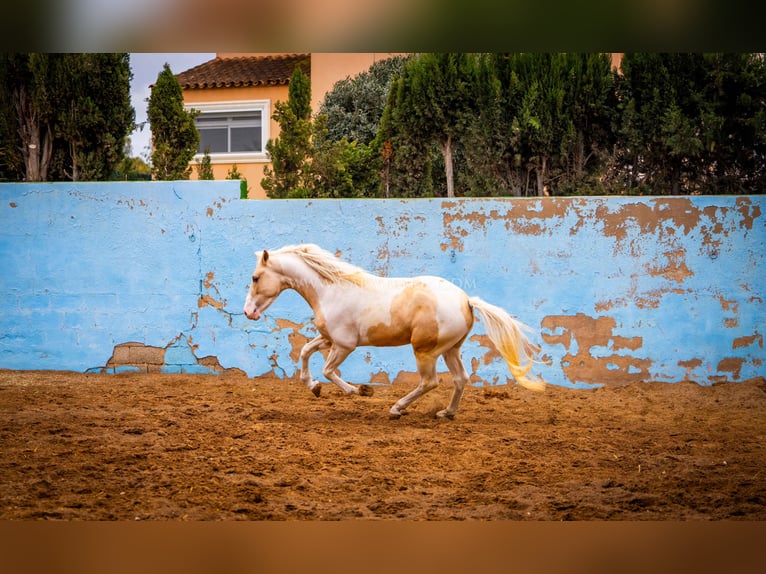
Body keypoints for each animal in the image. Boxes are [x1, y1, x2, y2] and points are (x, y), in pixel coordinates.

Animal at [243, 243, 544, 418]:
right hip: (450, 350)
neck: (330, 290)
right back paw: (446, 413)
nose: (248, 313)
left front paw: (359, 391)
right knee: (460, 379)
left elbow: (328, 370)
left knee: (430, 382)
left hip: (425, 351)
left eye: (255, 278)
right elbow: (305, 352)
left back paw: (397, 408)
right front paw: (313, 387)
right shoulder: (329, 339)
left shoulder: (344, 345)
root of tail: (467, 300)